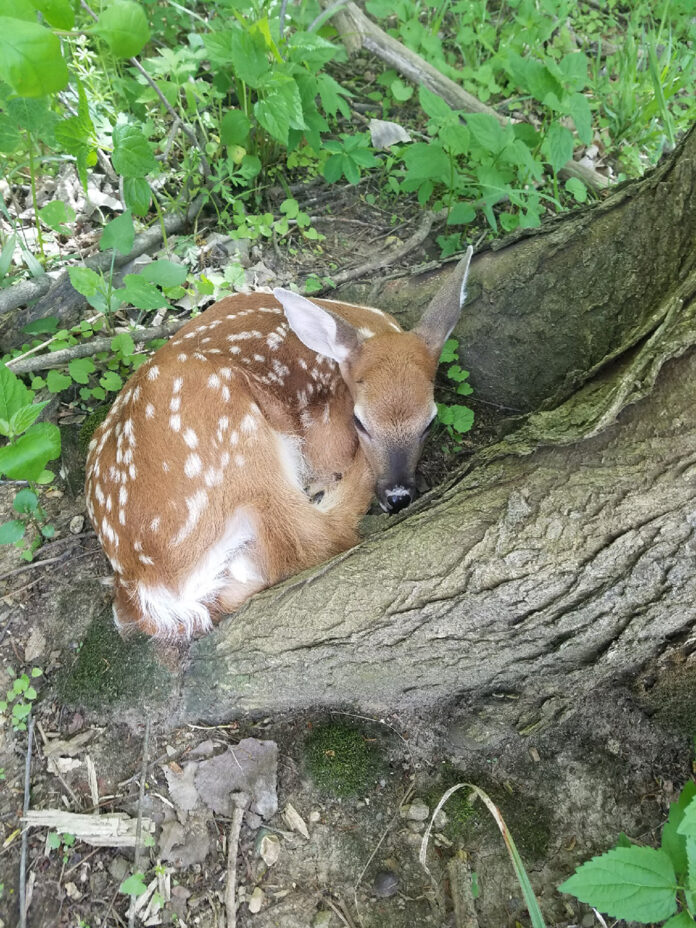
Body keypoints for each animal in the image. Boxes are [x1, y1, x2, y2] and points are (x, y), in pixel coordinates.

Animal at [84, 247, 473, 638]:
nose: (398, 496)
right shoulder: (322, 435)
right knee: (313, 538)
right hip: (236, 437)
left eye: (430, 422)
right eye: (360, 422)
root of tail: (151, 589)